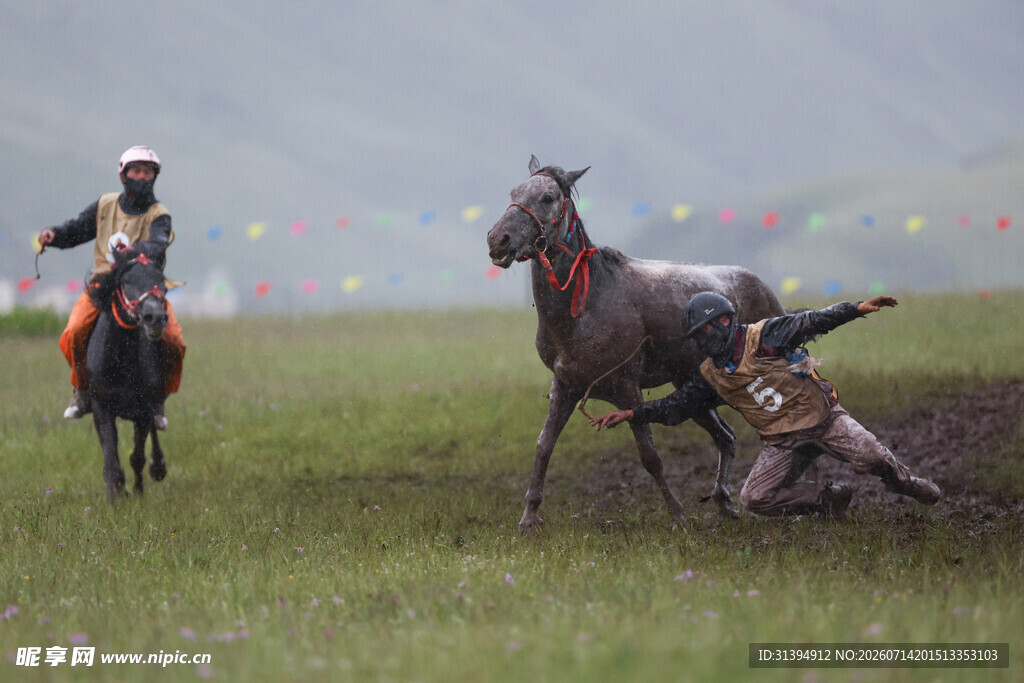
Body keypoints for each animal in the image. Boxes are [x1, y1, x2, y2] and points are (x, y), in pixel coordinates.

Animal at [85, 249, 172, 502]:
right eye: (127, 282)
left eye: (161, 282)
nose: (155, 317)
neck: (120, 362)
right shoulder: (101, 408)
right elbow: (111, 459)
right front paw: (115, 497)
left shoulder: (142, 410)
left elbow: (137, 456)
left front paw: (139, 493)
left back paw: (158, 467)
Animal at [487, 156, 786, 532]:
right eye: (514, 192)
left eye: (547, 197)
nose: (498, 239)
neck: (586, 306)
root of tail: (762, 285)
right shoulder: (566, 385)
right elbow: (544, 445)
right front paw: (529, 517)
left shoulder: (627, 385)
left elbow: (650, 456)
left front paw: (677, 514)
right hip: (690, 387)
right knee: (726, 437)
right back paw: (723, 502)